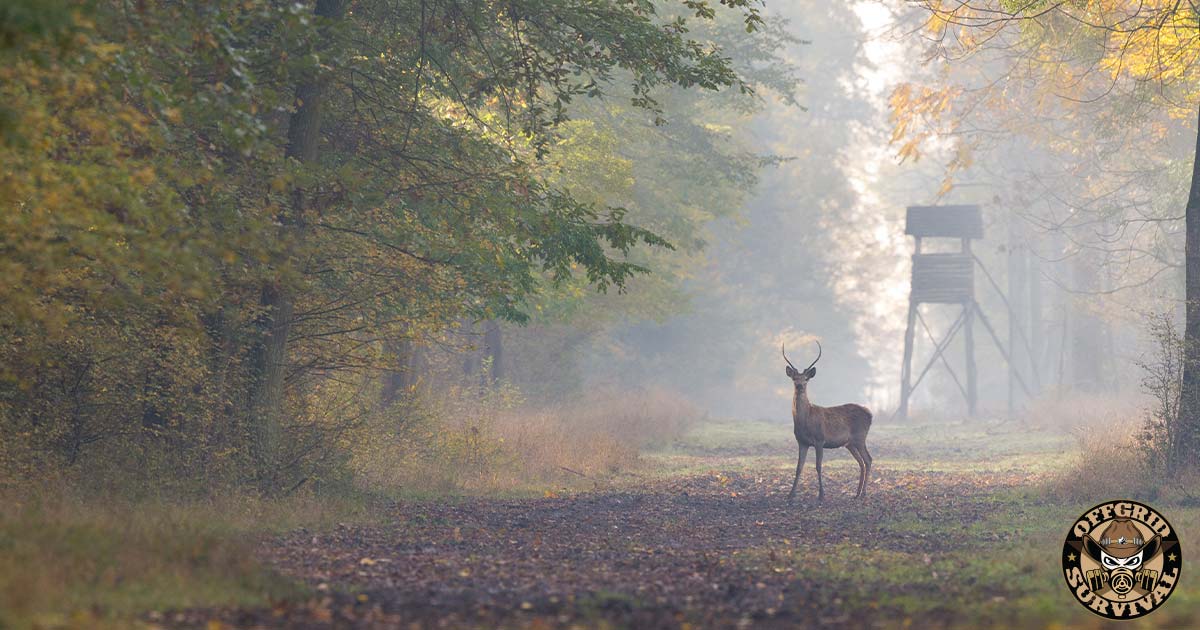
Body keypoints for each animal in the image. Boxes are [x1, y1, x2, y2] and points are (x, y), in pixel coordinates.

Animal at [782, 341, 873, 502]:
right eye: (794, 378)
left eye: (806, 379)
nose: (799, 386)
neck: (805, 422)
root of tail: (870, 415)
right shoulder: (802, 442)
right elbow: (799, 467)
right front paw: (791, 495)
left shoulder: (820, 439)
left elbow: (818, 466)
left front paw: (821, 495)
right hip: (850, 444)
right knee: (861, 462)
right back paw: (856, 493)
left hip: (860, 437)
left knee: (868, 460)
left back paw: (863, 493)